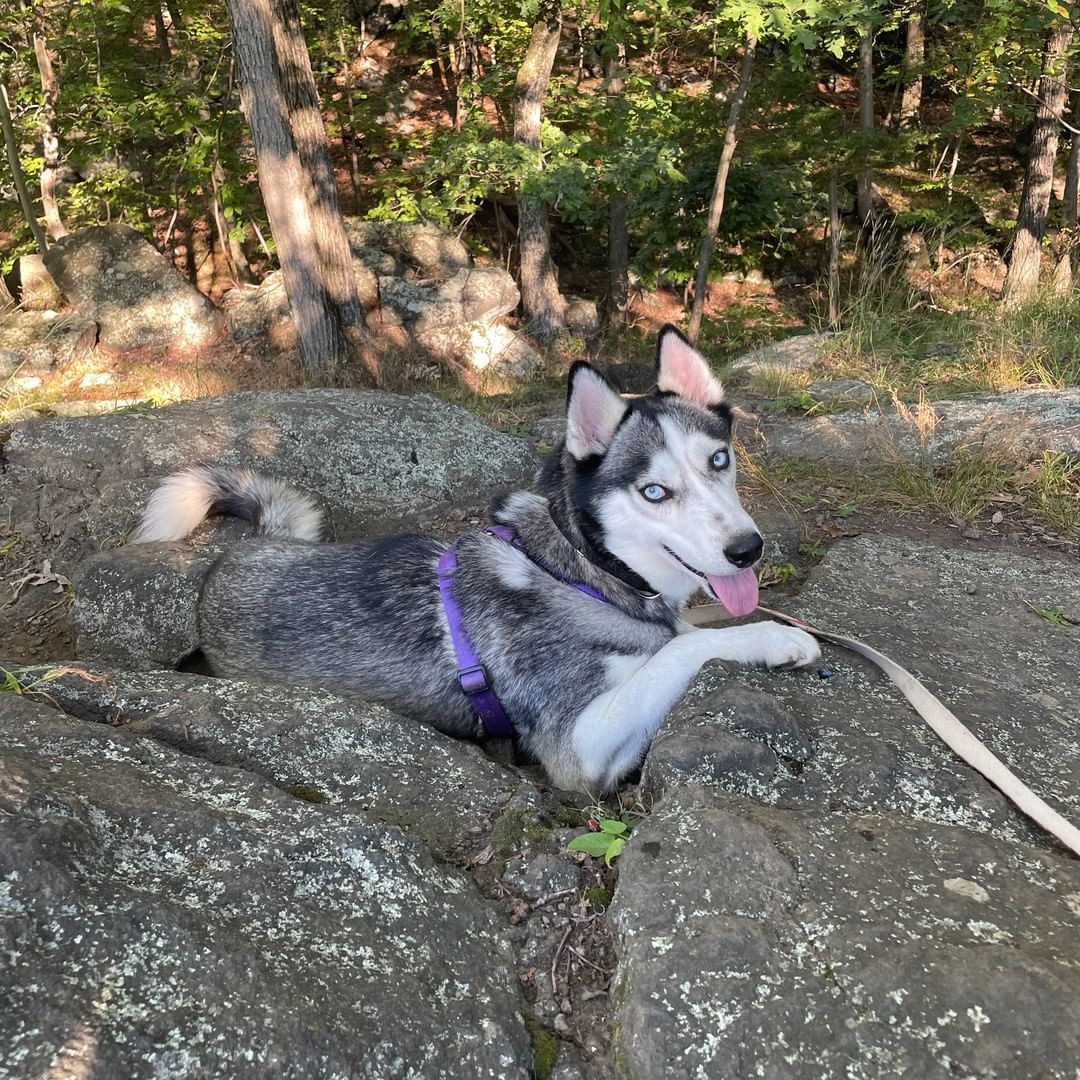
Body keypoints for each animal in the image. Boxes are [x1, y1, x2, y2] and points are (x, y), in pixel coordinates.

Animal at [130, 324, 812, 790]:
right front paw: (774, 639)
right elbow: (682, 650)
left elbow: (685, 634)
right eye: (654, 492)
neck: (584, 569)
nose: (747, 550)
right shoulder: (578, 747)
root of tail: (245, 552)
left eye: (719, 460)